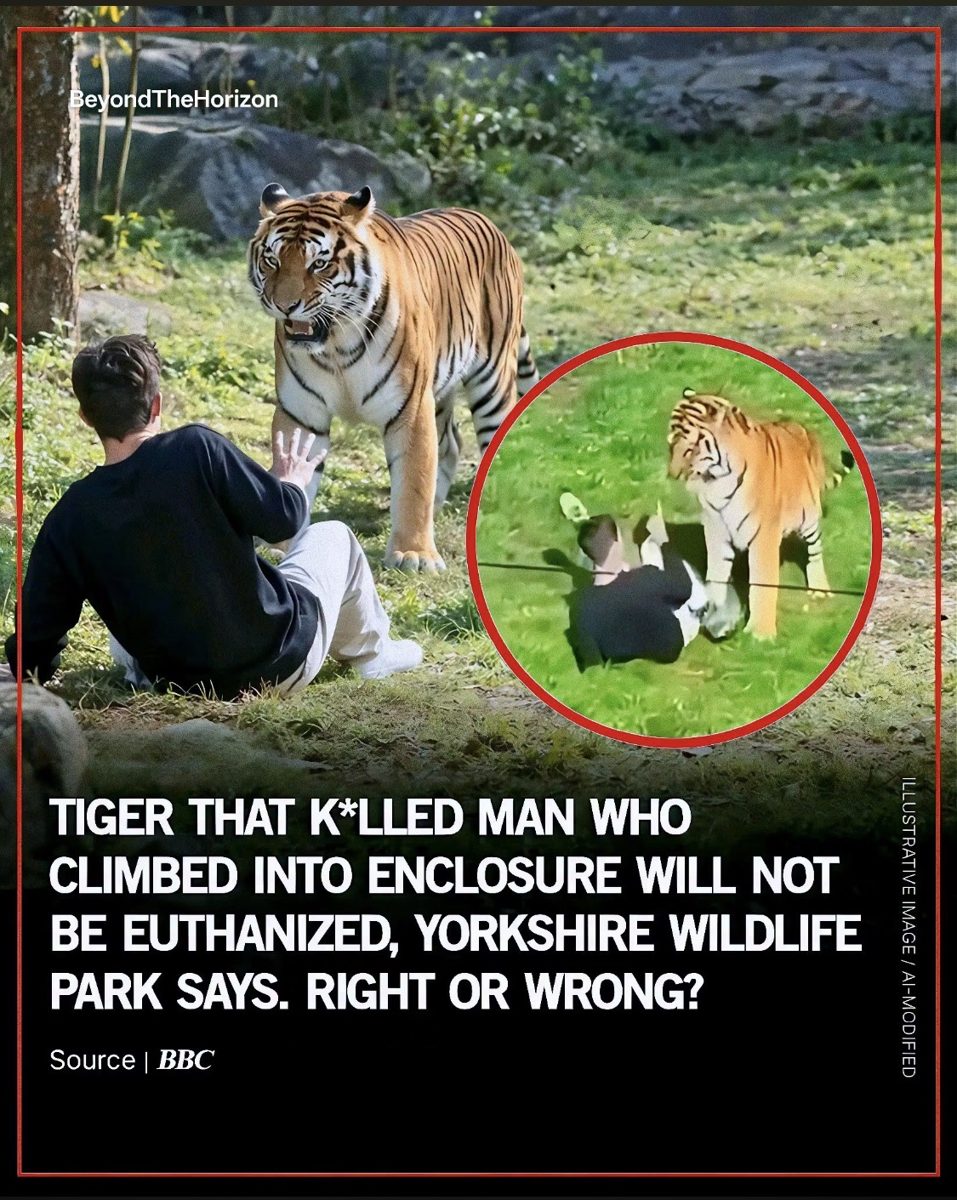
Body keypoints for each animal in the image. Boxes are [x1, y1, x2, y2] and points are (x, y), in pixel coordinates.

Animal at [247, 182, 539, 572]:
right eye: (272, 260)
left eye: (319, 263)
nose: (284, 306)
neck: (336, 344)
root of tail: (493, 226)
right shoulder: (301, 411)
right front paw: (280, 546)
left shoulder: (411, 407)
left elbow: (414, 478)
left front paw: (414, 554)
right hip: (440, 392)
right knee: (451, 444)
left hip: (491, 381)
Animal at [667, 388, 854, 640]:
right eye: (670, 445)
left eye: (689, 449)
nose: (672, 474)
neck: (717, 483)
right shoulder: (716, 531)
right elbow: (716, 575)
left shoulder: (763, 534)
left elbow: (762, 584)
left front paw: (760, 634)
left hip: (809, 518)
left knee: (815, 552)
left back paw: (820, 590)